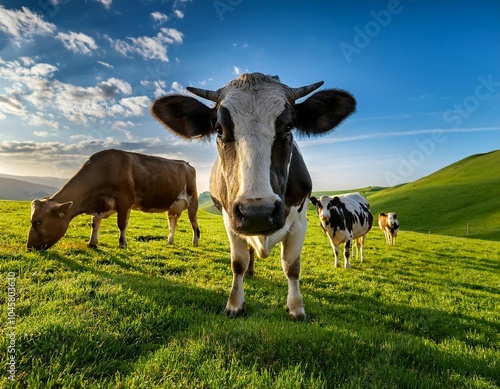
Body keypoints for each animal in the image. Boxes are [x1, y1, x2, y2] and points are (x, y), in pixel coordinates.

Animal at [26, 149, 199, 249]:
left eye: (39, 222)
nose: (29, 247)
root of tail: (187, 164)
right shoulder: (99, 205)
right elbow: (94, 224)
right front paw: (92, 242)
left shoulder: (125, 200)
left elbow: (121, 224)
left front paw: (122, 244)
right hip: (172, 206)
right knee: (173, 221)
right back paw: (170, 241)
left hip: (193, 201)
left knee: (194, 223)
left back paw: (195, 241)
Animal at [151, 72, 356, 318]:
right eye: (219, 130)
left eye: (288, 128)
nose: (258, 212)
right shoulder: (230, 220)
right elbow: (238, 262)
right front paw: (234, 303)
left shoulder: (300, 221)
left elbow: (291, 266)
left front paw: (296, 307)